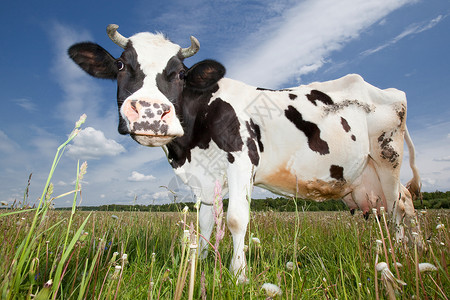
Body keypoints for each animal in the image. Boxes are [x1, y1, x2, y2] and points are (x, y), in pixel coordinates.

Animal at [68, 24, 420, 282]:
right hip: (368, 175)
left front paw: (239, 275)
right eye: (121, 64)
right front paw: (201, 265)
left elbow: (237, 218)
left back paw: (401, 257)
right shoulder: (202, 177)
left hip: (388, 158)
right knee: (404, 202)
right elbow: (205, 223)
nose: (151, 113)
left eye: (181, 73)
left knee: (398, 207)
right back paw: (411, 251)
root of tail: (385, 89)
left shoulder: (242, 161)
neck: (190, 145)